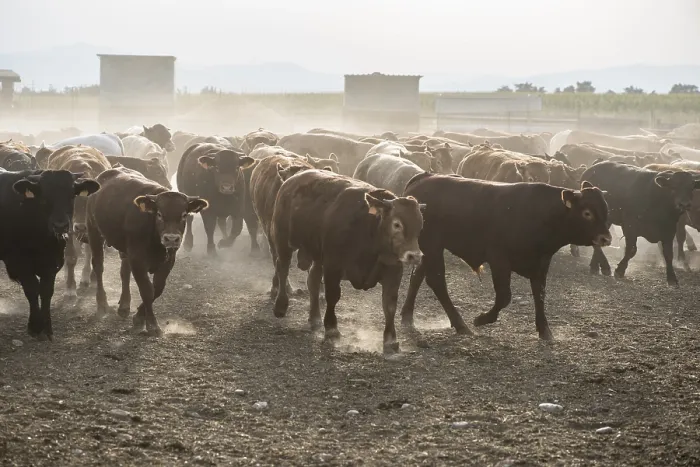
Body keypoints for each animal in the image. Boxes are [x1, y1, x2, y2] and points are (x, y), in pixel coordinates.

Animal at [0, 169, 100, 339]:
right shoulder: (20, 263)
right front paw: (35, 325)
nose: (60, 225)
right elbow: (32, 289)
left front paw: (47, 327)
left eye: (71, 196)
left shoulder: (52, 263)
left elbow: (46, 291)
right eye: (44, 198)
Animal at [46, 146, 112, 297]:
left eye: (91, 202)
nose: (81, 227)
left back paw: (86, 277)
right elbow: (71, 256)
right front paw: (70, 288)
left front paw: (93, 279)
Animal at [86, 167, 208, 335]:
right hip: (94, 231)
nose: (171, 239)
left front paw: (138, 316)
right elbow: (147, 290)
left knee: (124, 272)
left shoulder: (168, 260)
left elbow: (157, 288)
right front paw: (151, 324)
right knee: (98, 266)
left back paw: (124, 305)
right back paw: (102, 304)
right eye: (159, 214)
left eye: (183, 214)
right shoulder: (138, 260)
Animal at [270, 169, 425, 353]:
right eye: (397, 224)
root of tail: (291, 180)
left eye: (420, 225)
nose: (415, 256)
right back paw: (280, 305)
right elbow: (332, 296)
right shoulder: (333, 267)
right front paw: (331, 331)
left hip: (317, 256)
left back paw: (314, 317)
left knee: (313, 281)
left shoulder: (393, 271)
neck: (369, 231)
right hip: (283, 241)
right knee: (282, 267)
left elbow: (389, 304)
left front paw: (391, 340)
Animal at [400, 173, 611, 340]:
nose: (606, 238)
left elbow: (540, 295)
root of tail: (423, 178)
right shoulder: (498, 259)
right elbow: (504, 297)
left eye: (605, 210)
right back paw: (461, 324)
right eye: (587, 213)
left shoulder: (541, 263)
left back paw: (407, 316)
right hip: (433, 246)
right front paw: (482, 319)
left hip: (429, 249)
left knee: (417, 277)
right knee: (437, 282)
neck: (540, 214)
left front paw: (545, 331)